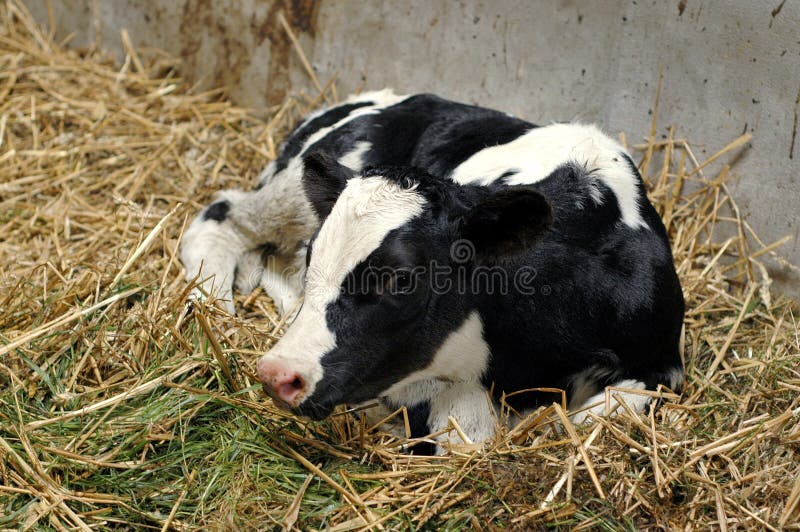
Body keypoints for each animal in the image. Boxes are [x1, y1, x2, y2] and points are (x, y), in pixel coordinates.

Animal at [180, 90, 685, 453]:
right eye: (315, 259)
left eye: (401, 278)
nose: (277, 373)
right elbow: (463, 430)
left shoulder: (666, 362)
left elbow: (605, 410)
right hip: (292, 195)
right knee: (221, 215)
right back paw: (211, 304)